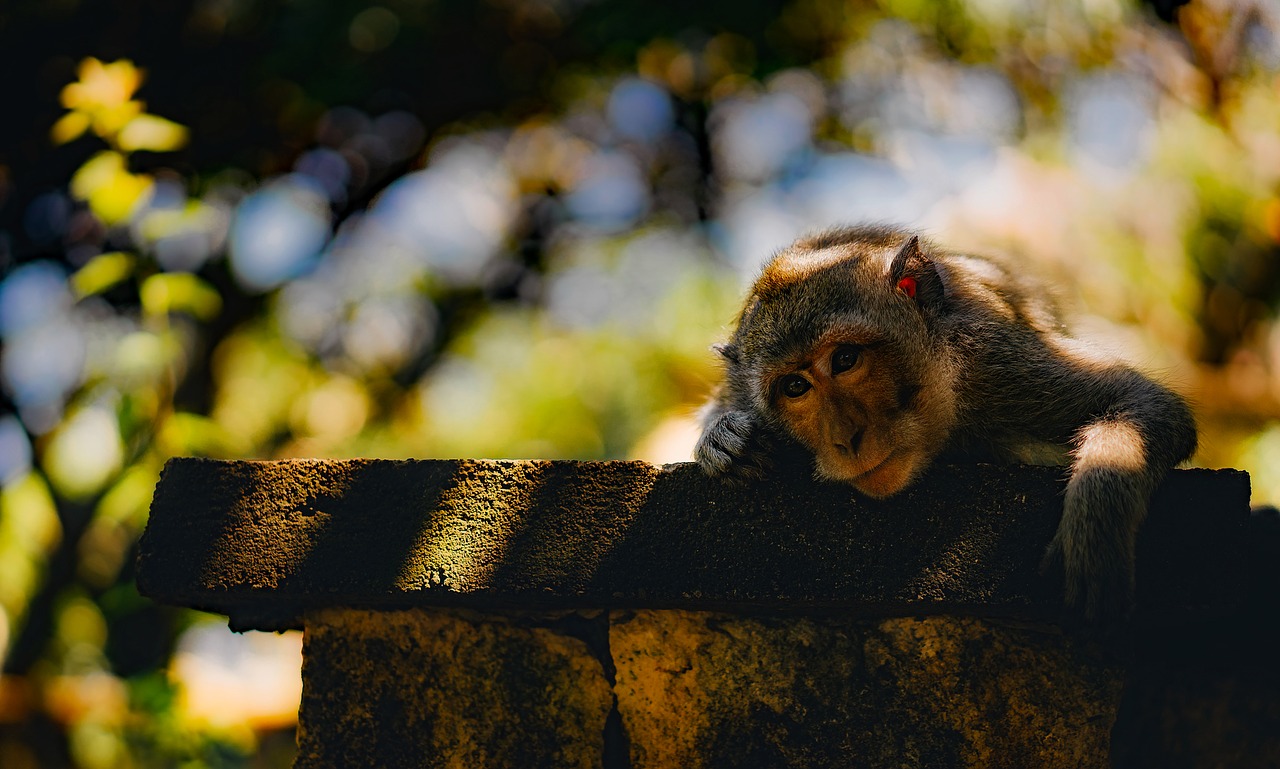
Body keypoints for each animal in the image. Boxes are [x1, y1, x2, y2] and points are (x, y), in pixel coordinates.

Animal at [696, 225, 1192, 621]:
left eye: (845, 359)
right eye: (795, 387)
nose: (845, 439)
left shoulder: (992, 360)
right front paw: (725, 442)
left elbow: (1144, 402)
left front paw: (1094, 536)